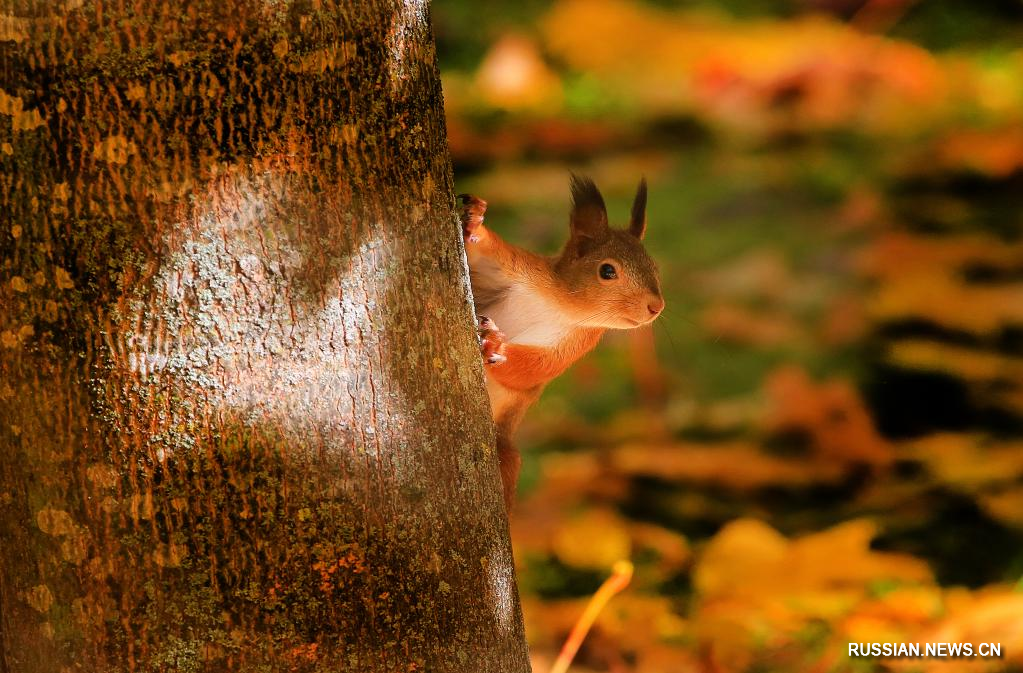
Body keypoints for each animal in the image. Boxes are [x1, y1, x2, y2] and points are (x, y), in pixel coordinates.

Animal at [458, 175, 662, 505]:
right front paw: (475, 223)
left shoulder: (574, 344)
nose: (656, 306)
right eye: (607, 270)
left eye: (653, 267)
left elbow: (535, 368)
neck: (559, 305)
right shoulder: (516, 270)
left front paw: (496, 346)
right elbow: (484, 254)